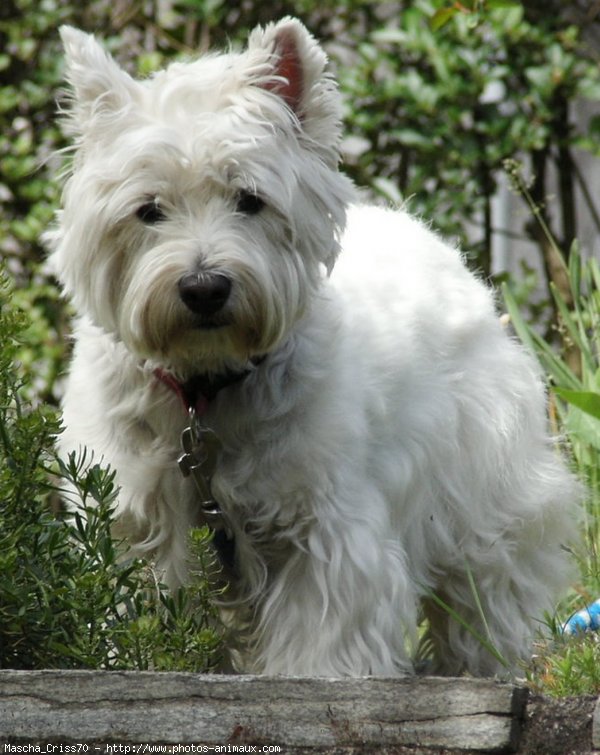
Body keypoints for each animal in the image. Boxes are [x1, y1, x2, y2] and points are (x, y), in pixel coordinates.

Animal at [49, 17, 580, 680]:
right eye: (148, 210)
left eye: (250, 199)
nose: (204, 288)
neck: (205, 388)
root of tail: (427, 236)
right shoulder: (136, 515)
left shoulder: (325, 525)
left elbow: (324, 622)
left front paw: (317, 676)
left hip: (484, 489)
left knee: (484, 592)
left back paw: (481, 665)